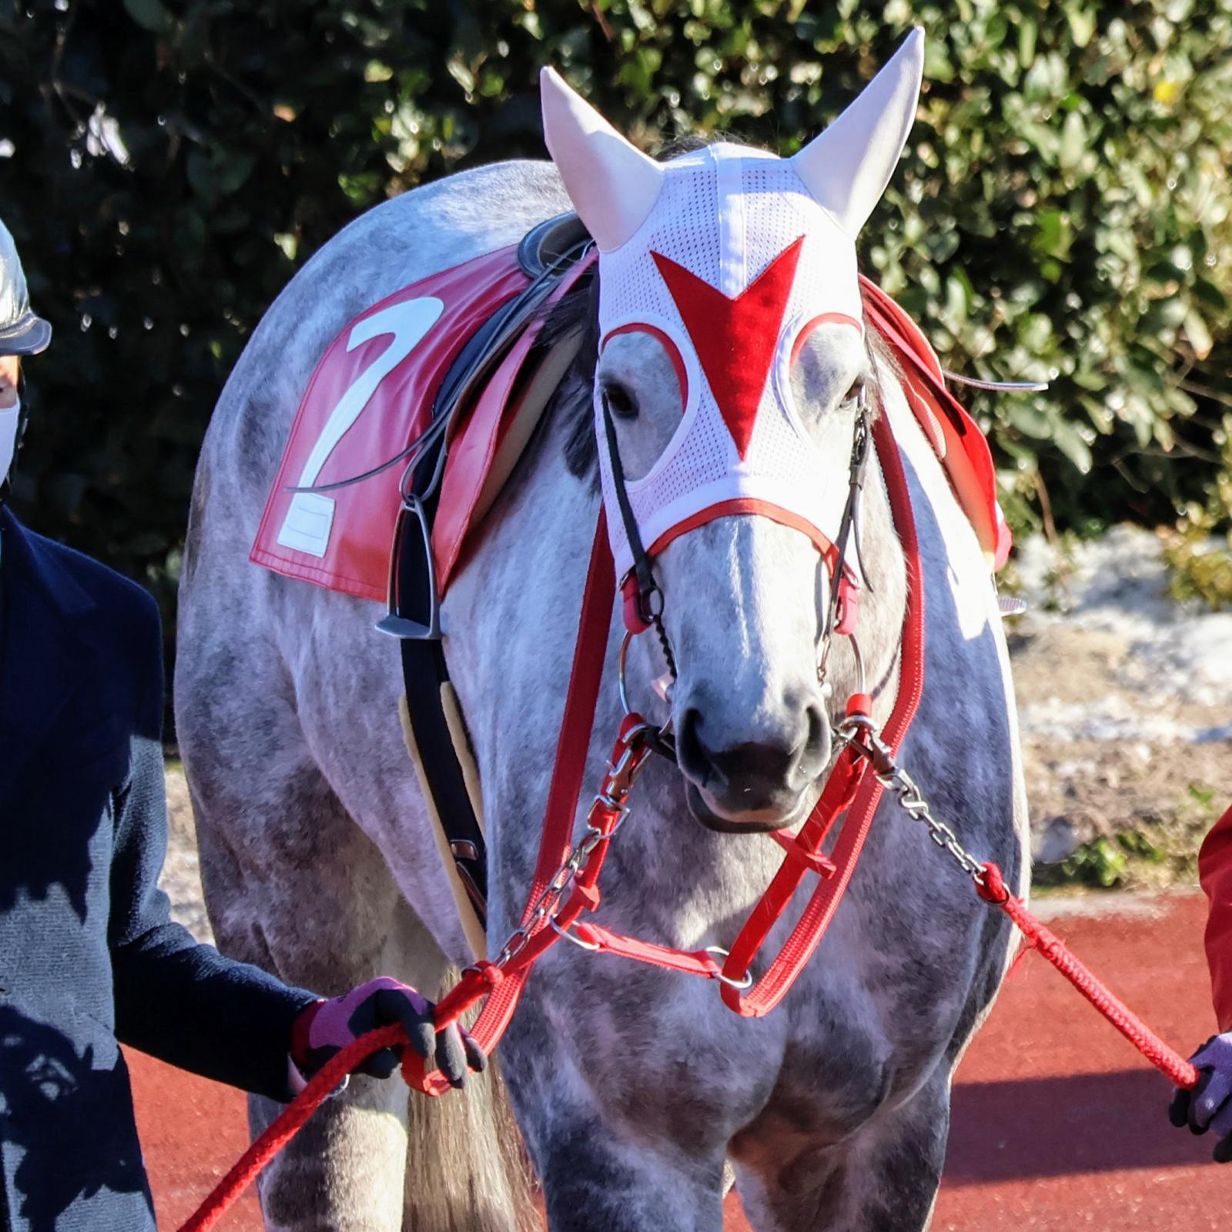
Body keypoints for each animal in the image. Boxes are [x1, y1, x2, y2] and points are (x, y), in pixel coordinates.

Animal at [175, 29, 1027, 1232]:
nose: (750, 738)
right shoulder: (622, 1146)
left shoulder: (878, 1135)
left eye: (846, 386)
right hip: (300, 928)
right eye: (617, 391)